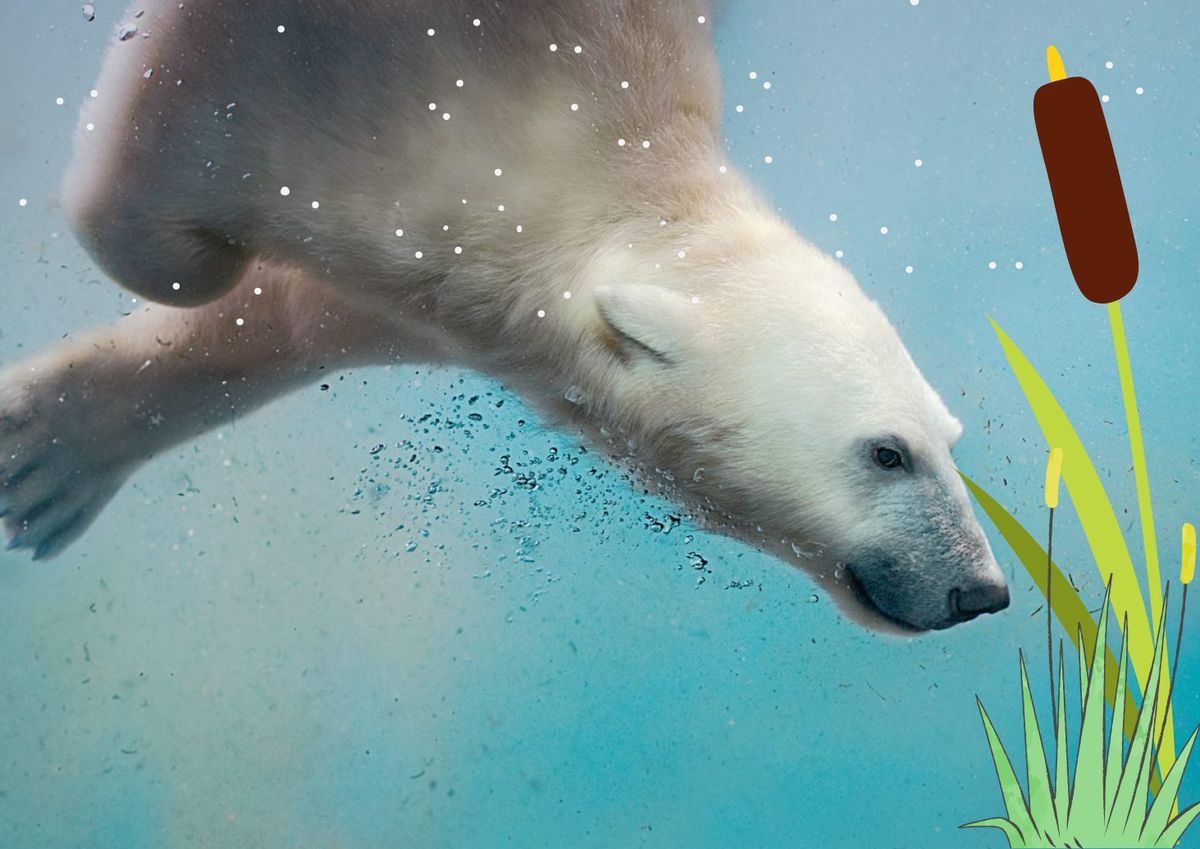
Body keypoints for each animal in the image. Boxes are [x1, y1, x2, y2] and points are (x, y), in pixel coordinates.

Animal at [0, 0, 1003, 628]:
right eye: (886, 451)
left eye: (948, 438)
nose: (983, 590)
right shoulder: (309, 71)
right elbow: (175, 246)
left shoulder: (444, 280)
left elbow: (304, 311)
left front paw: (46, 456)